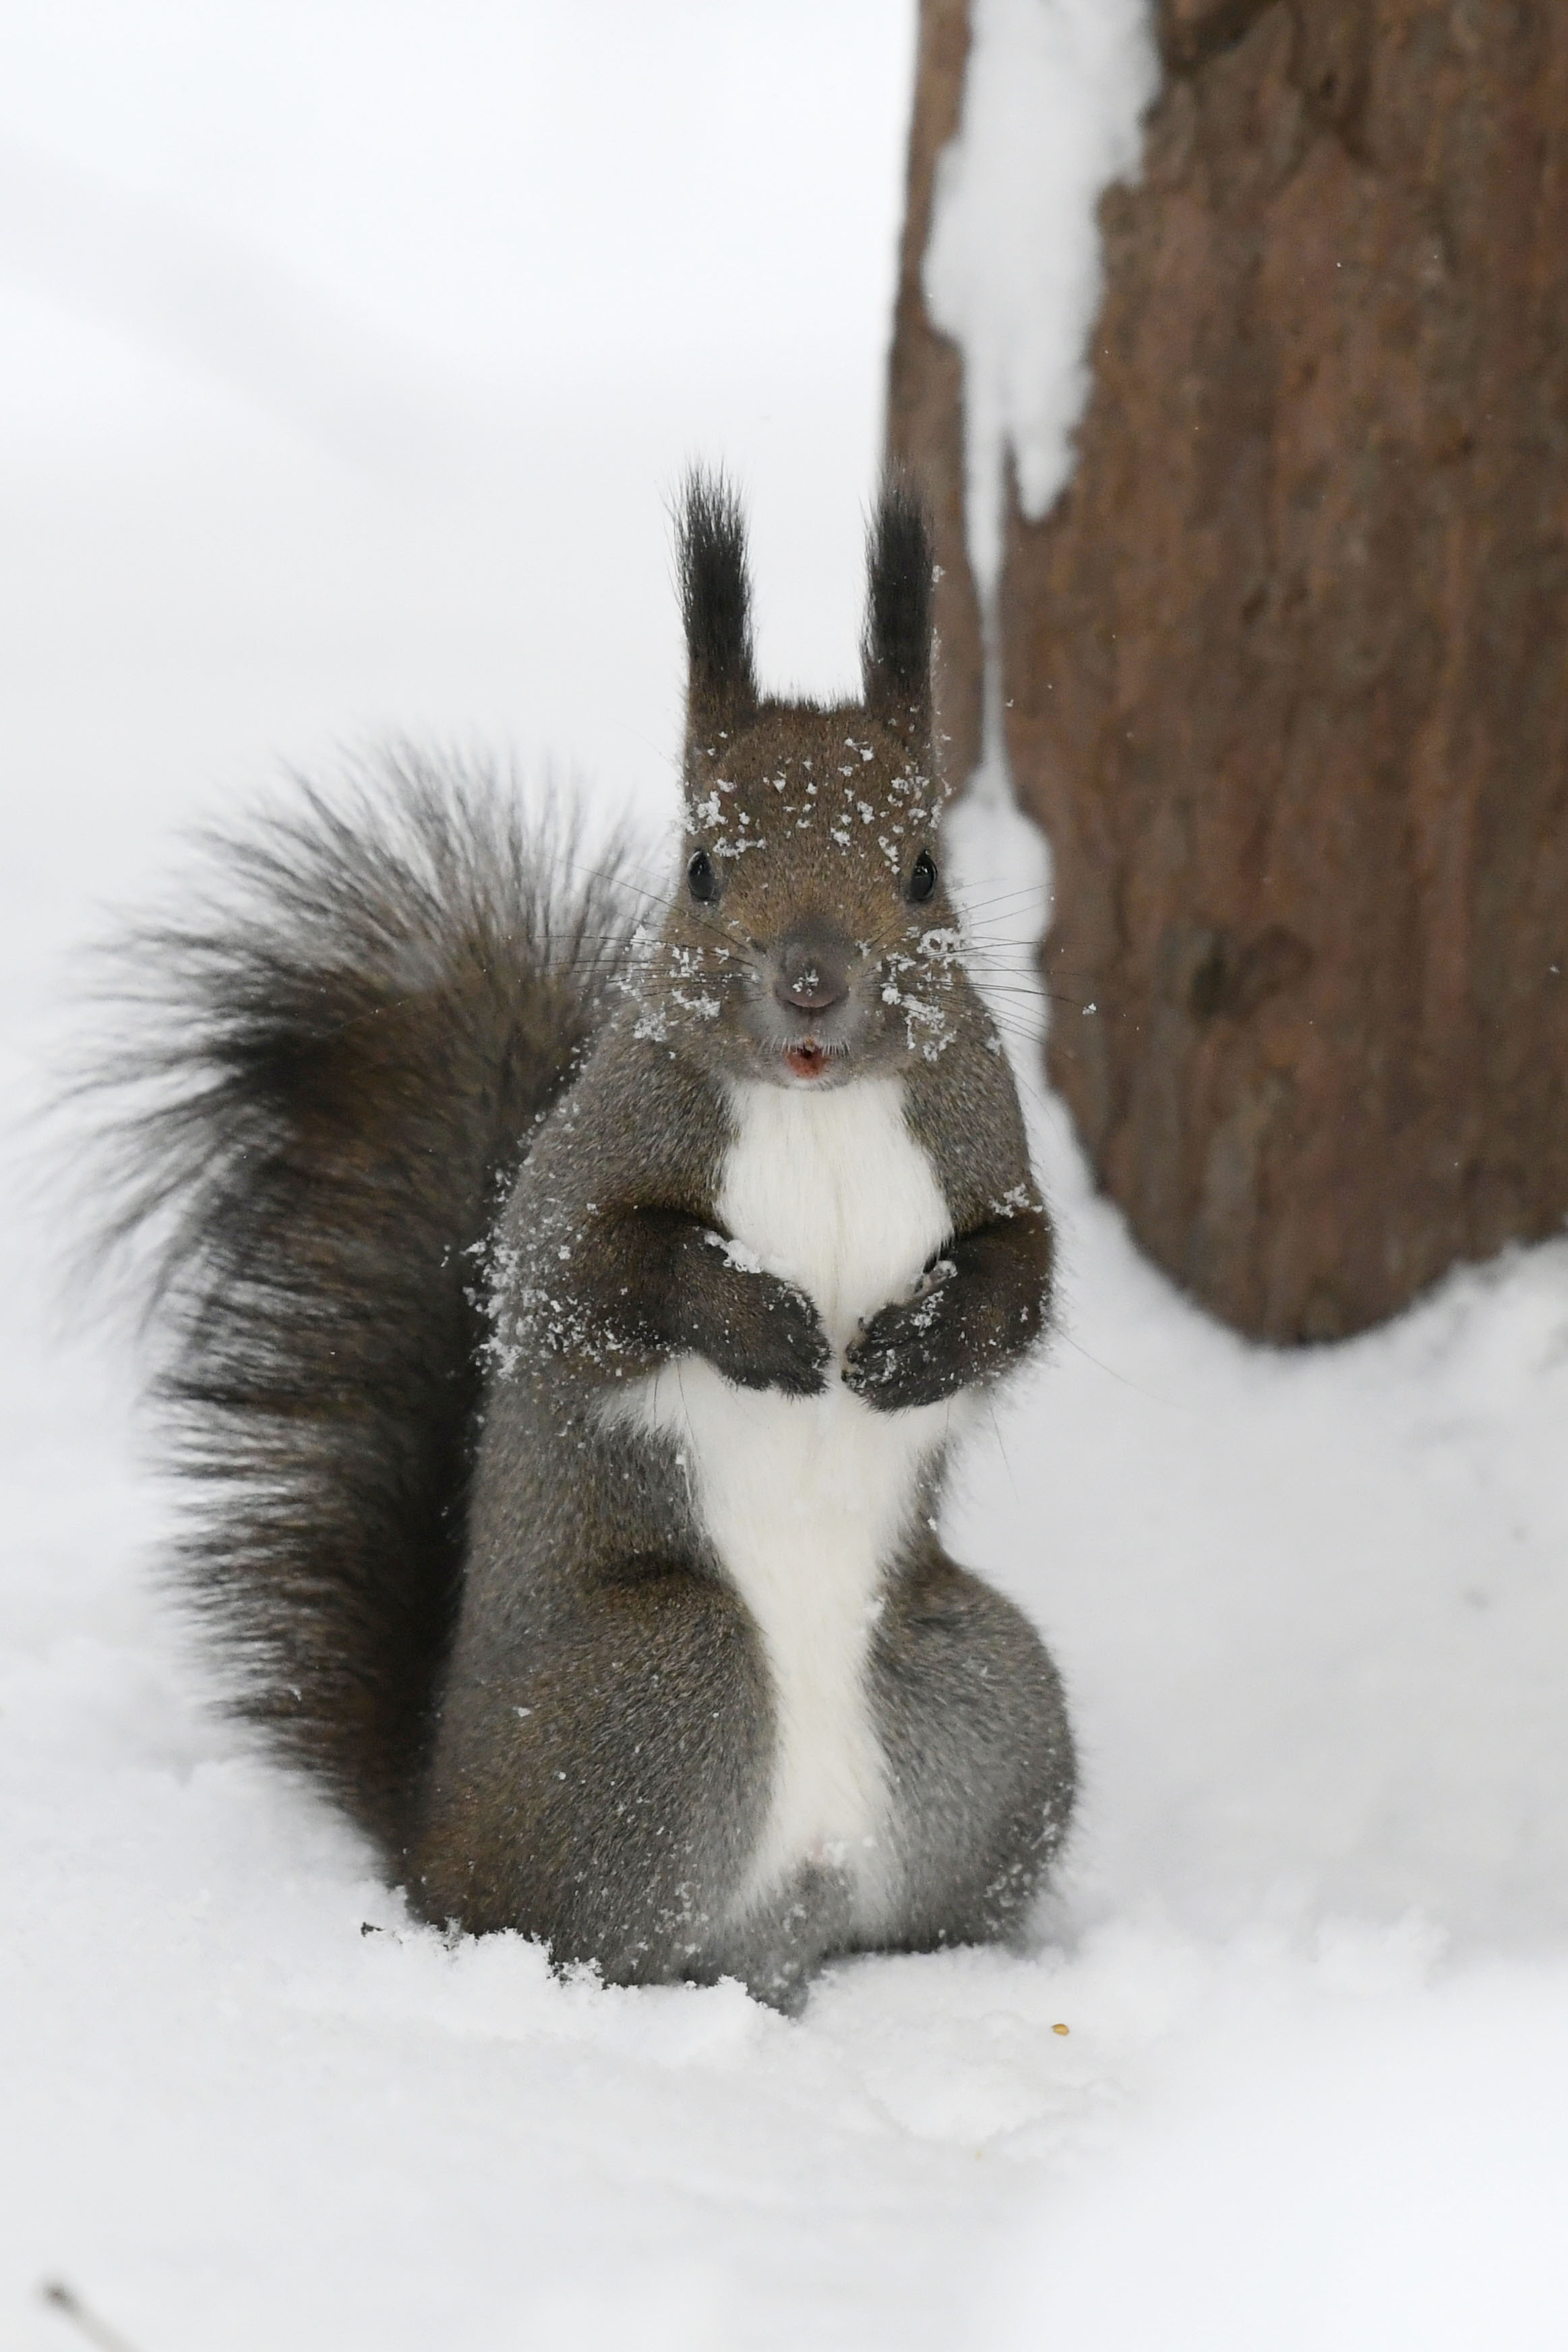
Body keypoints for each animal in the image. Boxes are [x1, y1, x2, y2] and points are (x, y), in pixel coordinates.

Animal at [100, 473, 1081, 2003]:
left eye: (926, 868)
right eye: (700, 867)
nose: (814, 983)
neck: (818, 1109)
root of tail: (433, 1828)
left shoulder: (987, 1154)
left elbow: (1019, 1280)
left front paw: (914, 1349)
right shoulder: (579, 1180)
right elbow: (588, 1276)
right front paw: (766, 1326)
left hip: (982, 1693)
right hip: (658, 1686)